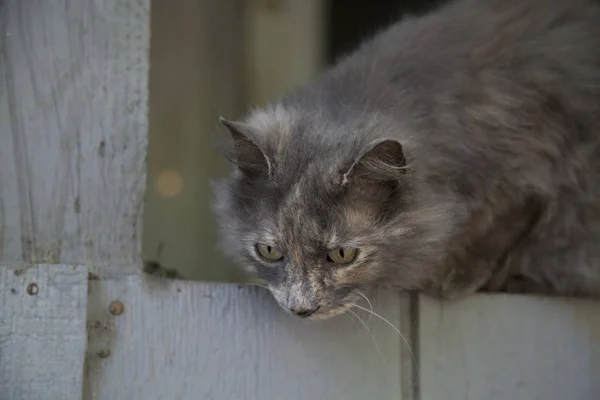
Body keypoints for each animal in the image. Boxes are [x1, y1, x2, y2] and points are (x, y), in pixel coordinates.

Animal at [213, 0, 600, 320]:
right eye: (268, 250)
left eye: (342, 255)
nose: (301, 309)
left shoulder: (540, 152)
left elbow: (514, 215)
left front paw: (456, 277)